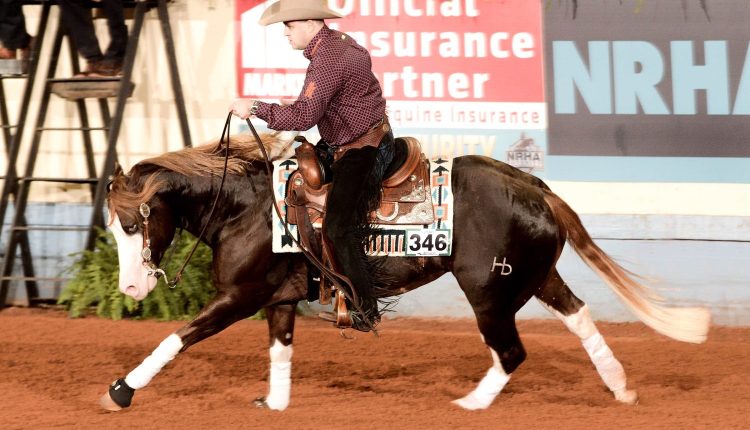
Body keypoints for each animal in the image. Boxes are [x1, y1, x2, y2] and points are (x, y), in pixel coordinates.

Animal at [100, 132, 712, 414]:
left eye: (133, 224)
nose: (131, 287)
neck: (248, 207)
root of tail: (535, 185)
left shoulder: (239, 296)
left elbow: (178, 337)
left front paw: (120, 391)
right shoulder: (278, 299)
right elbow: (280, 351)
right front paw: (274, 404)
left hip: (489, 291)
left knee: (511, 352)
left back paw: (470, 406)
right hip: (535, 278)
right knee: (579, 317)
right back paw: (620, 386)